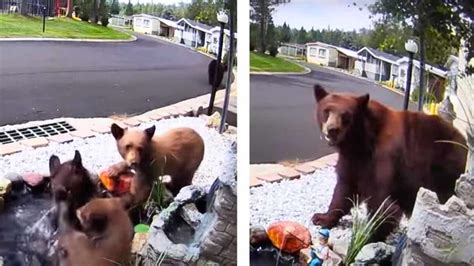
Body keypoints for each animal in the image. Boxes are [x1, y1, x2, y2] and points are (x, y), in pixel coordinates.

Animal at [312, 84, 466, 240]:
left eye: (346, 115)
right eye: (326, 111)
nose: (332, 129)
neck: (362, 140)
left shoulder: (386, 158)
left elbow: (383, 202)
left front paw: (367, 236)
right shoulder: (353, 160)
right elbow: (345, 188)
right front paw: (322, 217)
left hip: (445, 171)